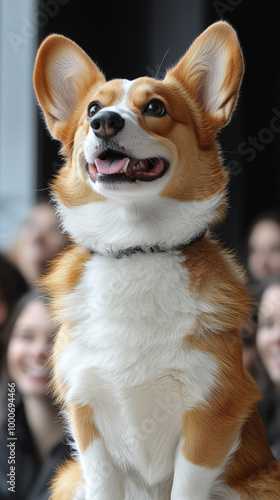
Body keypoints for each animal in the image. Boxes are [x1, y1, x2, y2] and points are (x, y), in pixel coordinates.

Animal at [33, 21, 280, 498]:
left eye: (155, 107)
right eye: (93, 107)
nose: (104, 122)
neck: (135, 248)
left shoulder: (209, 419)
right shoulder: (88, 424)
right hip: (71, 478)